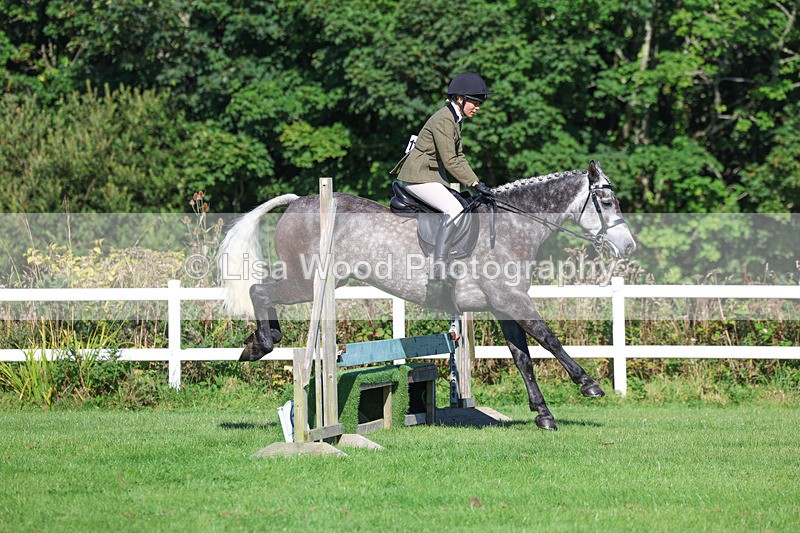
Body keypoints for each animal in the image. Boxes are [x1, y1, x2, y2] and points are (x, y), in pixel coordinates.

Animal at [218, 161, 636, 430]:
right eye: (607, 202)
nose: (628, 247)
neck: (514, 226)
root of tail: (297, 201)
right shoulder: (511, 299)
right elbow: (549, 339)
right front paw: (589, 385)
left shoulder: (504, 305)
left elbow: (523, 358)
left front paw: (543, 414)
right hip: (309, 280)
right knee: (258, 289)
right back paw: (261, 343)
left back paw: (258, 343)